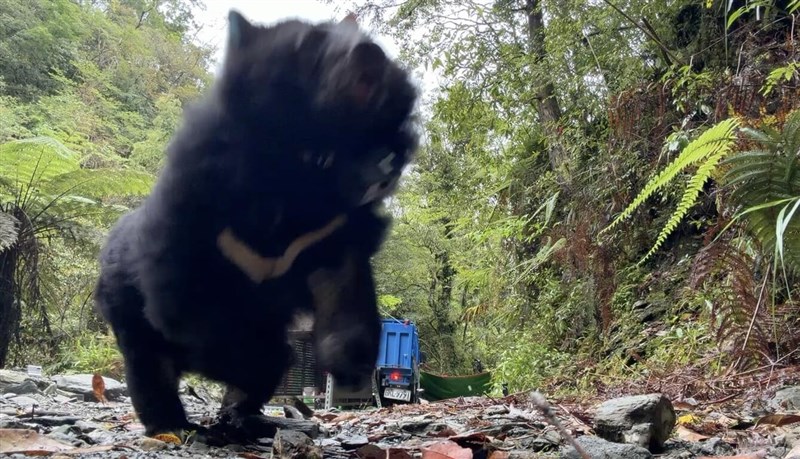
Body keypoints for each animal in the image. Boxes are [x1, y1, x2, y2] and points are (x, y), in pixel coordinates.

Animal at [93, 10, 418, 440]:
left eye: (370, 41)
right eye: (311, 46)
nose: (370, 55)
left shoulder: (328, 235)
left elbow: (344, 287)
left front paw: (349, 363)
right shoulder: (198, 226)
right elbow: (194, 311)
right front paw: (264, 362)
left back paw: (244, 415)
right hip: (127, 309)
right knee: (150, 368)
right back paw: (174, 423)